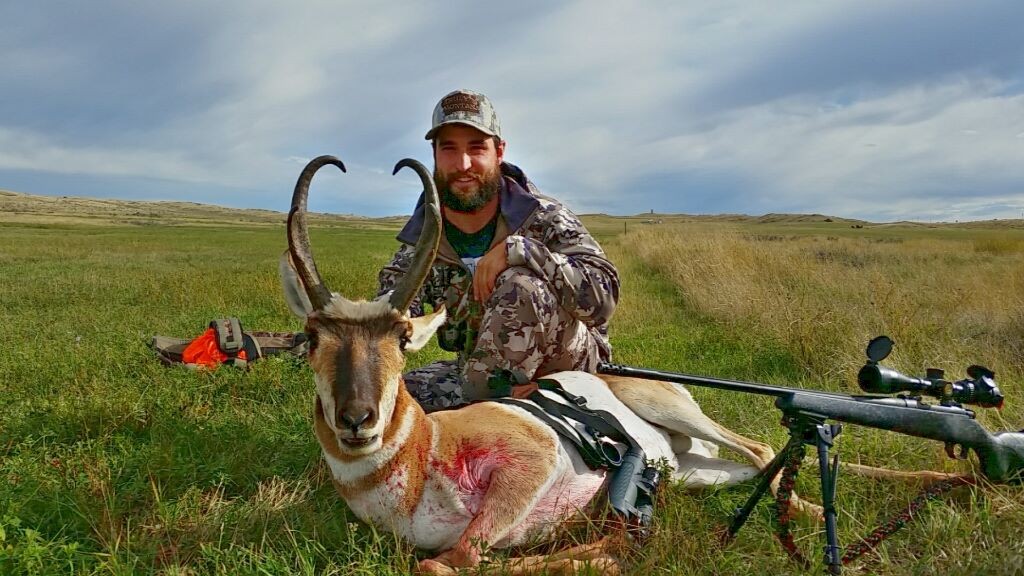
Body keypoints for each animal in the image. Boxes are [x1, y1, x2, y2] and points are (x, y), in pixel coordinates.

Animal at [278, 154, 823, 569]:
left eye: (402, 336)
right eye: (313, 337)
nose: (357, 420)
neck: (425, 450)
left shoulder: (529, 462)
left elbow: (450, 560)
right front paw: (599, 555)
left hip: (667, 407)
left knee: (757, 446)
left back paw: (811, 517)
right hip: (694, 474)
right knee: (746, 464)